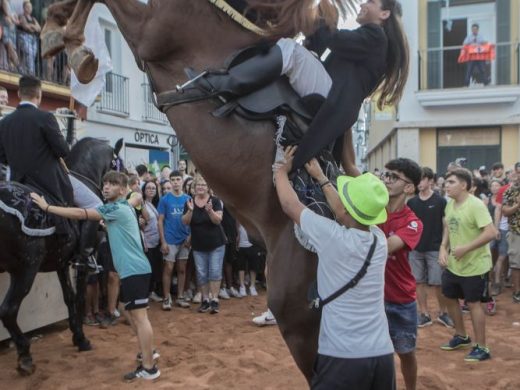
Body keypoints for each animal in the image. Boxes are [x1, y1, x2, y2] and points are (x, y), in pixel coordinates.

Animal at [0, 137, 123, 374]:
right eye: (117, 163)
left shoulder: (61, 262)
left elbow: (69, 297)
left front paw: (76, 335)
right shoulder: (83, 262)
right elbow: (80, 296)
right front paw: (82, 339)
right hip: (26, 268)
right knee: (8, 310)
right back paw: (24, 354)